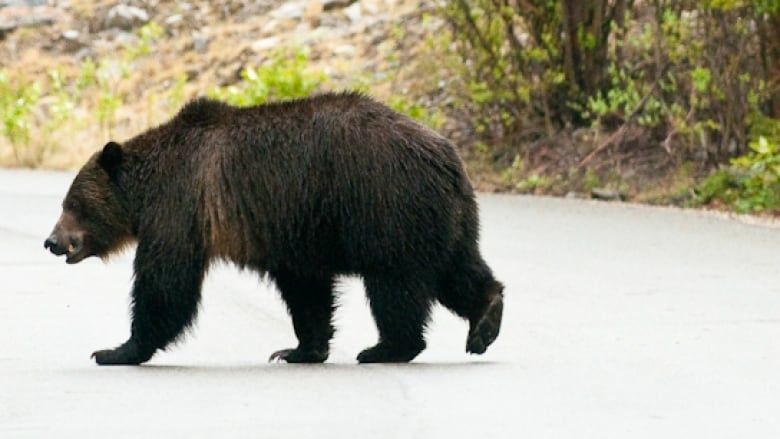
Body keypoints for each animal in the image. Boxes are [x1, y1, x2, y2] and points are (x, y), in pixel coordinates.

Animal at [44, 91, 506, 366]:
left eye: (73, 203)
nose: (52, 241)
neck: (147, 190)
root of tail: (446, 155)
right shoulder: (292, 231)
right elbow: (307, 291)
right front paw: (299, 349)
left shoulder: (181, 207)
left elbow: (165, 285)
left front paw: (116, 349)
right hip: (443, 217)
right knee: (457, 270)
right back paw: (485, 319)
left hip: (385, 206)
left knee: (395, 284)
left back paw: (386, 347)